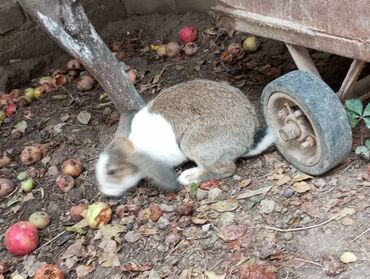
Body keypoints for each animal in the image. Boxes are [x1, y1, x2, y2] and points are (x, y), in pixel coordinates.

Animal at [95, 79, 274, 198]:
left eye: (113, 171)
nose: (105, 191)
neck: (136, 147)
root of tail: (247, 140)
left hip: (193, 145)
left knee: (226, 169)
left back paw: (189, 178)